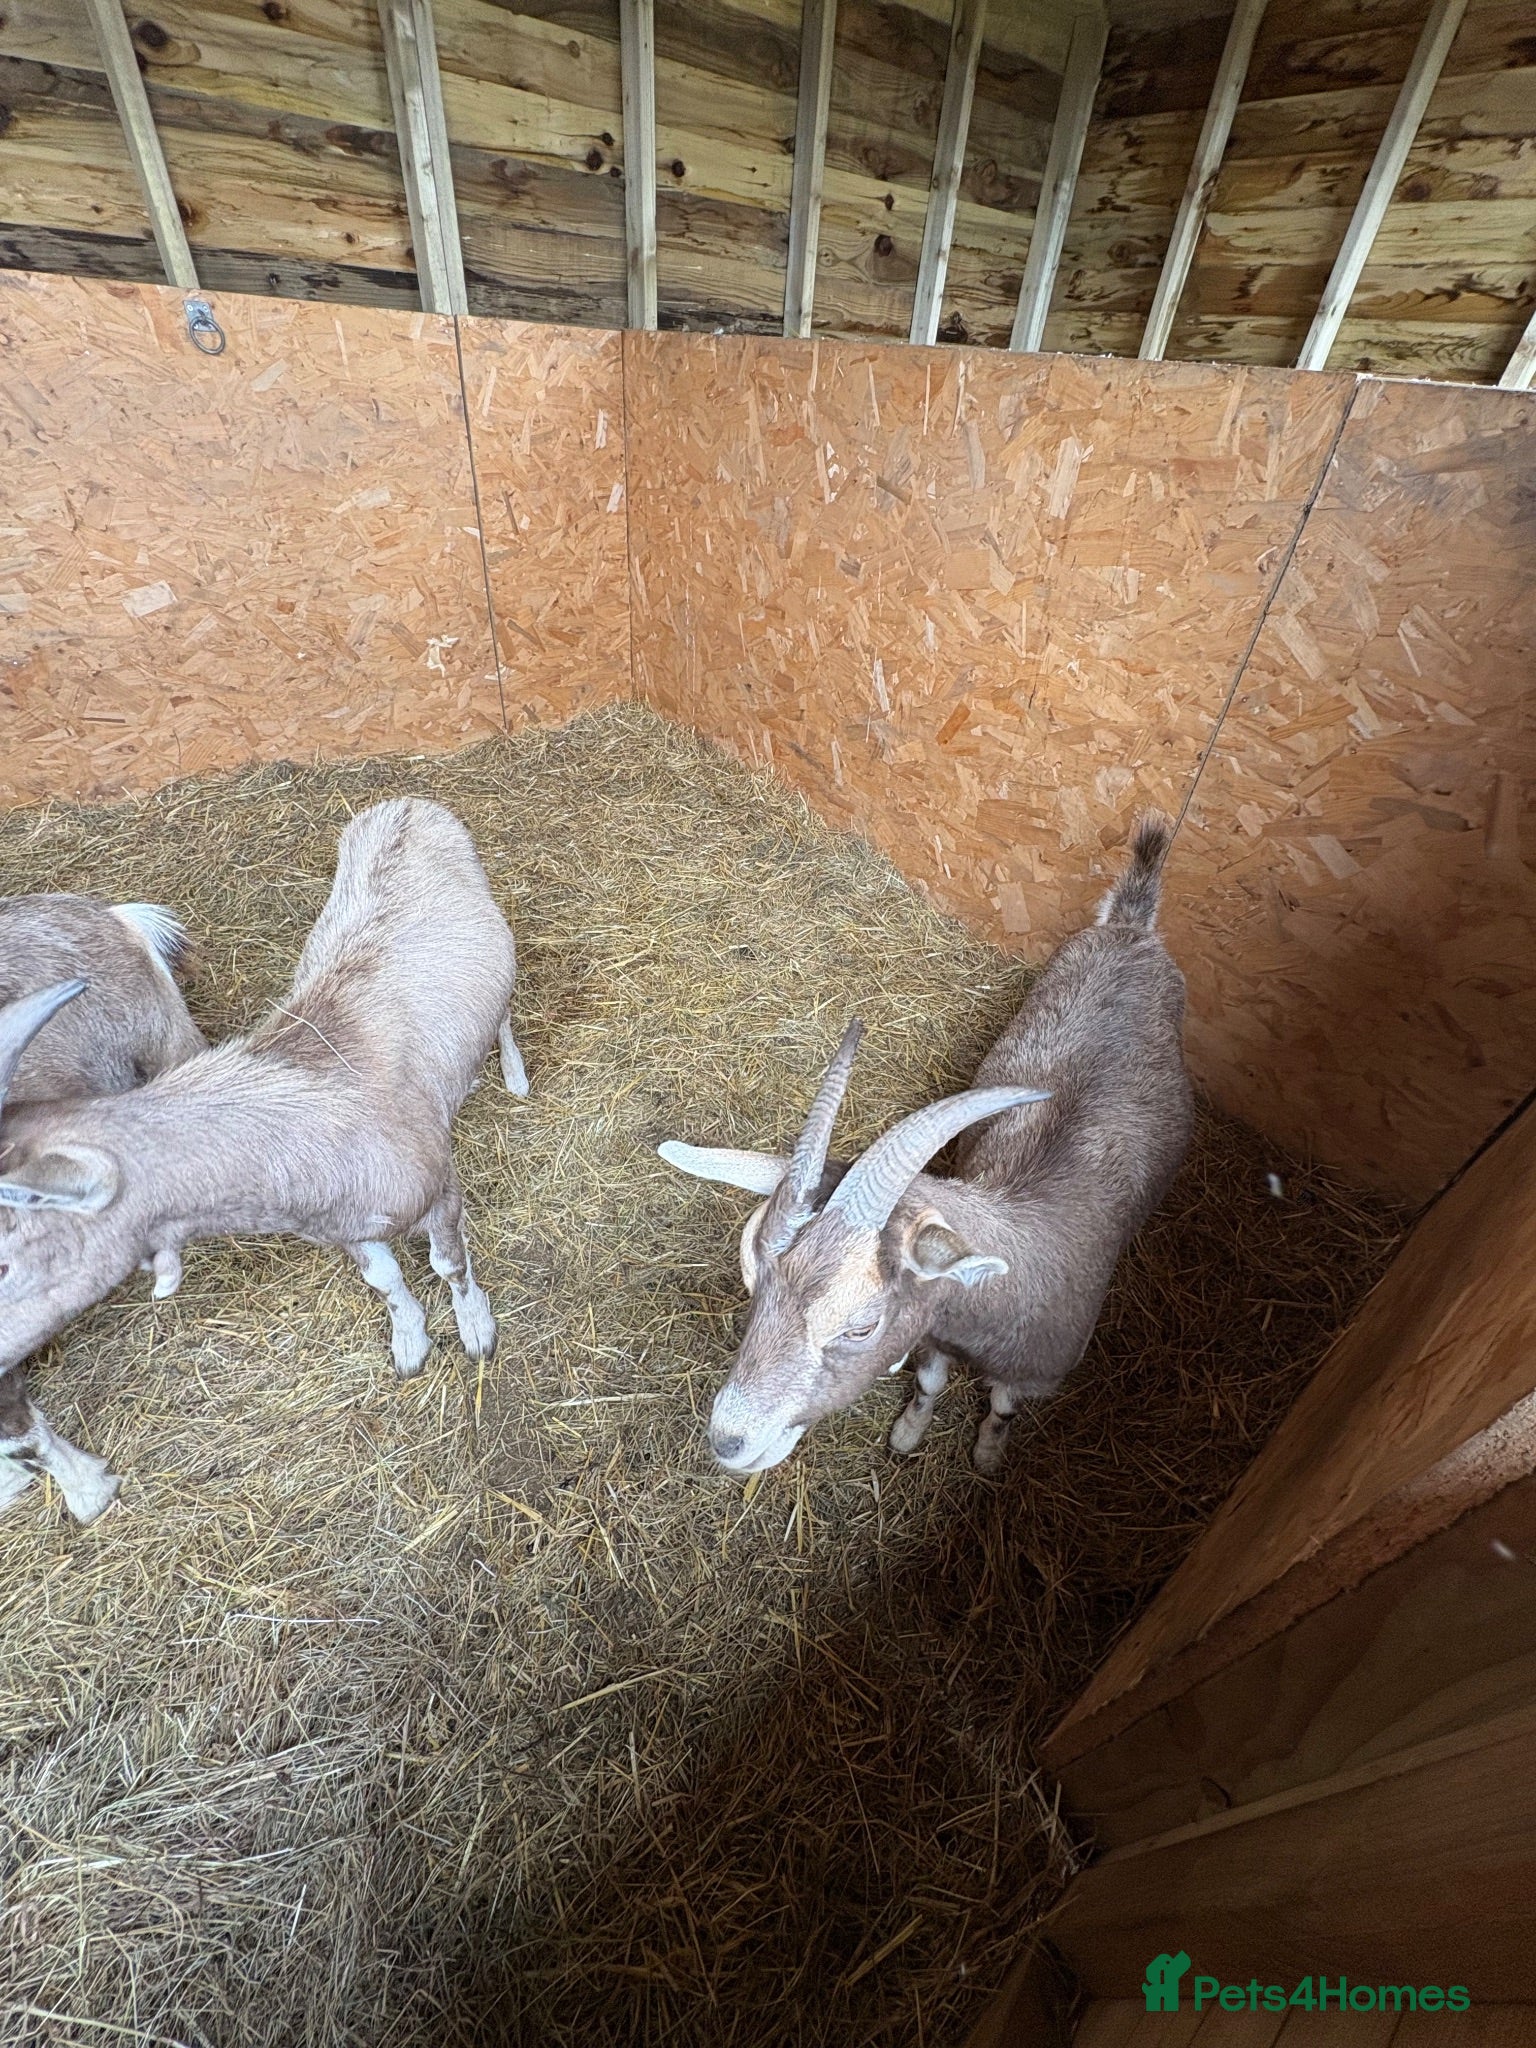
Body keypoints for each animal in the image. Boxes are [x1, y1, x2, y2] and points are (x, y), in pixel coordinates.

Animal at [659, 813, 1192, 1476]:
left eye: (861, 1326)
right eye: (754, 1279)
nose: (729, 1441)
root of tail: (1130, 929)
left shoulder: (1033, 1373)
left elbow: (1003, 1405)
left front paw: (988, 1452)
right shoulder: (934, 1334)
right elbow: (930, 1383)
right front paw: (909, 1432)